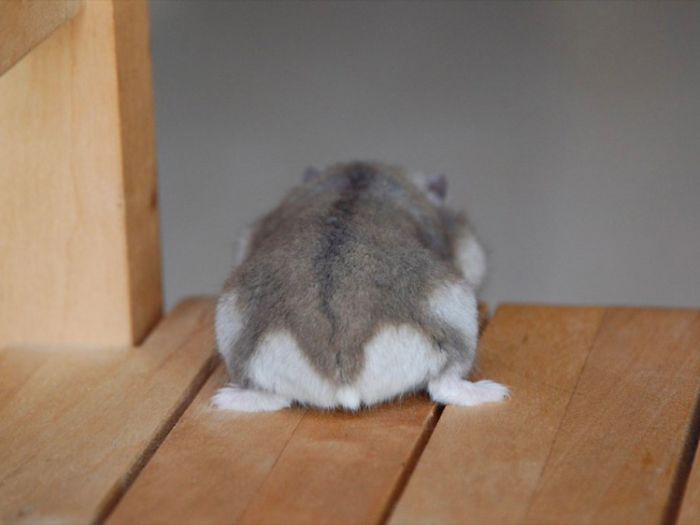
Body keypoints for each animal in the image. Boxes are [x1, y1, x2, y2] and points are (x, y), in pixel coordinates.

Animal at [212, 161, 509, 411]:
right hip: (459, 316)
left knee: (273, 397)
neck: (358, 178)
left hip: (233, 330)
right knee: (443, 384)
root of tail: (342, 375)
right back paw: (497, 393)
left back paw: (221, 400)